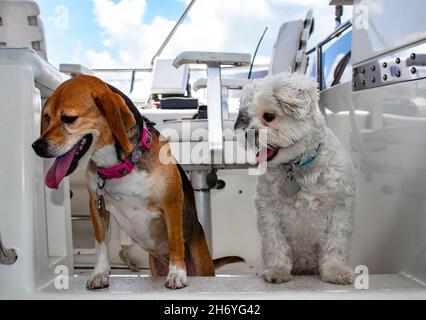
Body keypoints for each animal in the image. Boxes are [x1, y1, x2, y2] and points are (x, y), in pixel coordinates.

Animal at [235, 73, 354, 284]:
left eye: (269, 116)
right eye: (247, 120)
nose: (248, 133)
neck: (296, 167)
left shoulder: (339, 209)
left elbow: (335, 244)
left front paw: (335, 271)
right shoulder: (268, 211)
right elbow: (275, 243)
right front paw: (278, 270)